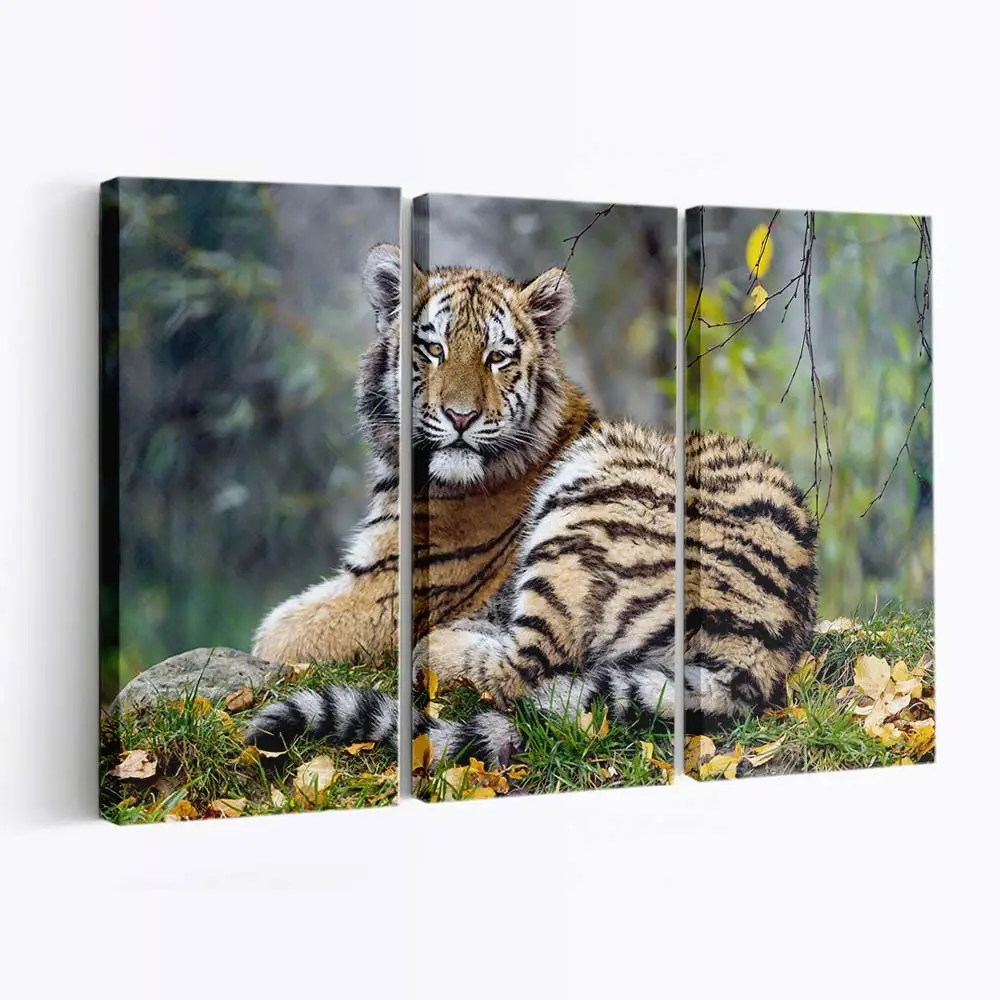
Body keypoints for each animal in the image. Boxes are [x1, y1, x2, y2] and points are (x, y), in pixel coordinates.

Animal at [246, 248, 819, 771]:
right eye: (432, 348)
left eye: (497, 357)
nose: (460, 416)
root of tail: (760, 654)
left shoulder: (384, 591)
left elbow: (276, 633)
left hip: (583, 500)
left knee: (525, 670)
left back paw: (435, 647)